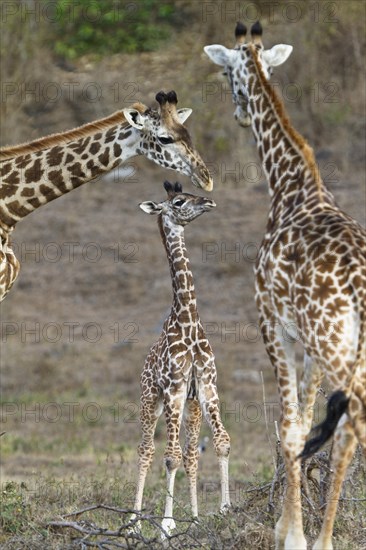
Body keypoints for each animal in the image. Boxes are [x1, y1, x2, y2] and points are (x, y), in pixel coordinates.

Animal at [204, 21, 364, 550]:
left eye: (227, 74)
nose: (238, 114)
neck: (291, 186)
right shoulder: (307, 344)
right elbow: (308, 424)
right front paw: (303, 532)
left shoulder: (273, 325)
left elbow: (290, 428)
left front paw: (291, 534)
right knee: (347, 428)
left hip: (334, 344)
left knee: (354, 421)